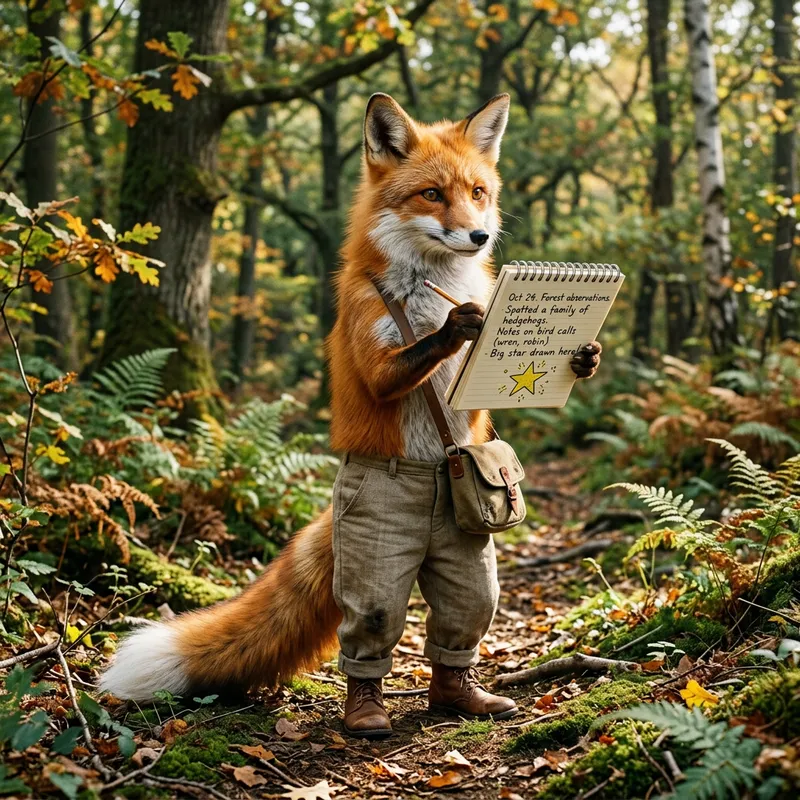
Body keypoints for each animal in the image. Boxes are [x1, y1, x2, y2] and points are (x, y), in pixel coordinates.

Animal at [99, 92, 601, 704]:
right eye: (432, 194)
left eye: (477, 193)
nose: (479, 237)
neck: (428, 289)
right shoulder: (372, 334)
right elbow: (398, 365)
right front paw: (460, 324)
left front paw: (584, 360)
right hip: (372, 542)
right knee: (375, 614)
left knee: (466, 605)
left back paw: (458, 692)